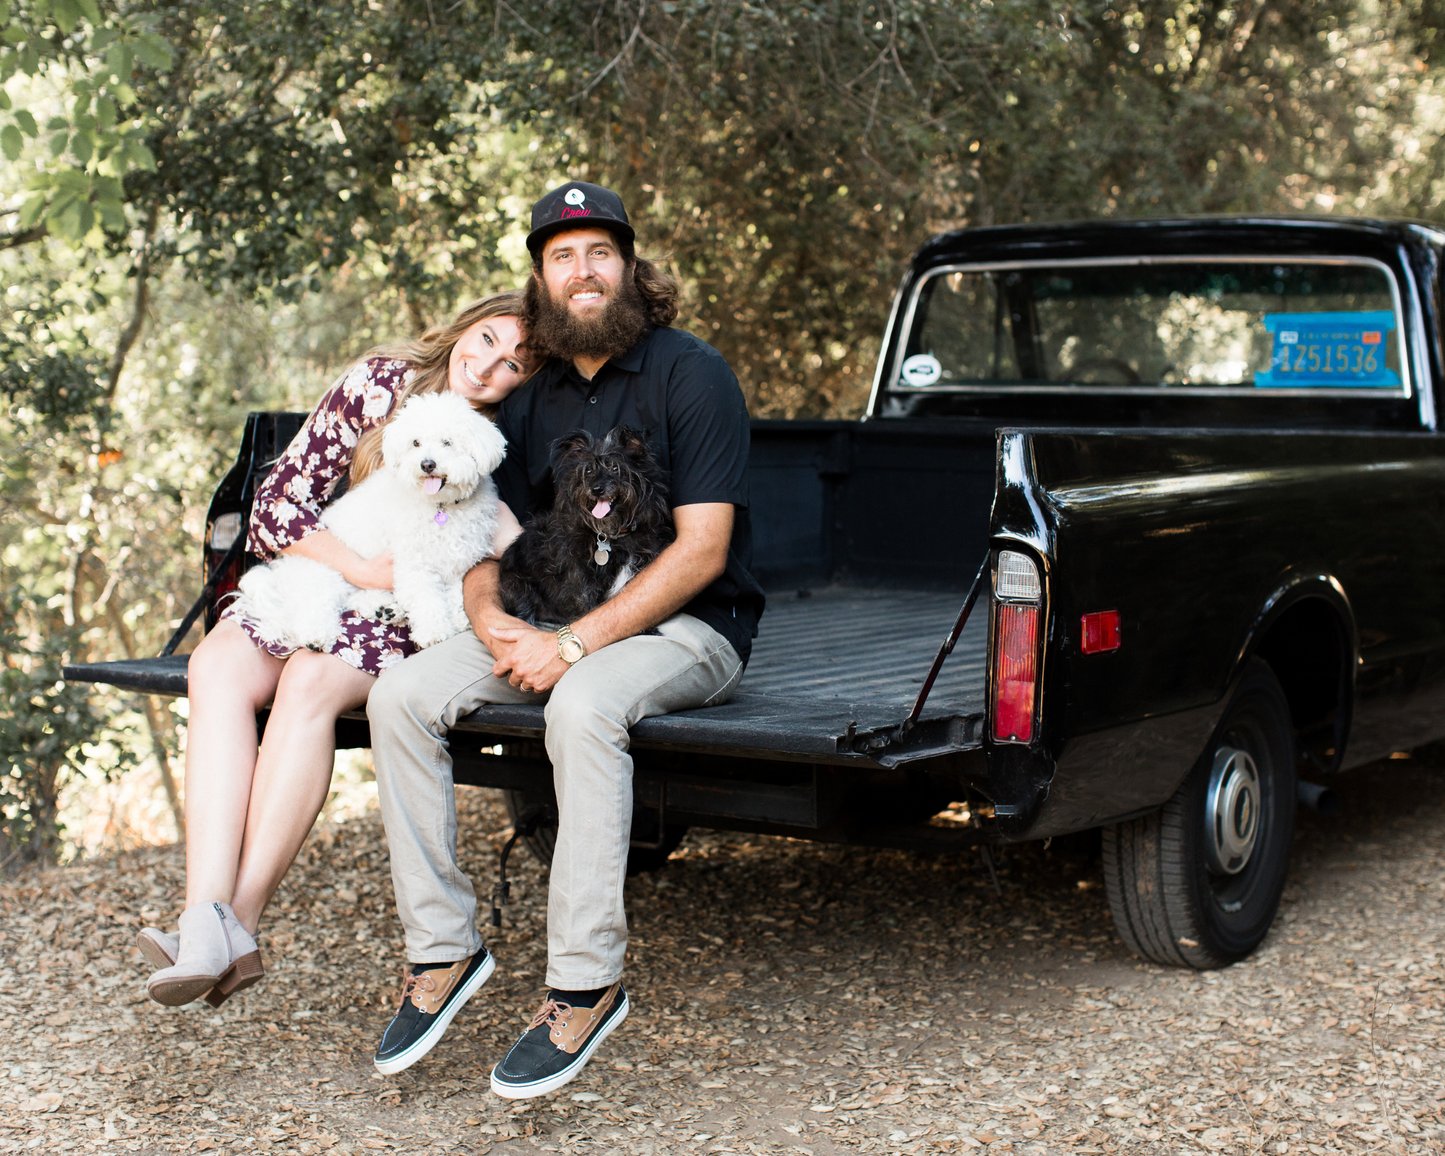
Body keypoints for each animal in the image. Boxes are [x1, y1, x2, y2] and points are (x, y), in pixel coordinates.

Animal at [229, 395, 508, 650]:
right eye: (416, 443)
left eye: (447, 442)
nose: (427, 464)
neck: (442, 506)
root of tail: (281, 574)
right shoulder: (415, 565)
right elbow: (427, 600)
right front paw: (434, 632)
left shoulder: (456, 563)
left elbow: (454, 596)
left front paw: (459, 620)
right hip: (323, 574)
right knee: (312, 609)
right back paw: (315, 636)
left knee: (352, 598)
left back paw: (385, 609)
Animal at [499, 427, 673, 627]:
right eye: (588, 470)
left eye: (615, 467)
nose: (596, 489)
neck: (612, 534)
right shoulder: (579, 579)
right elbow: (586, 607)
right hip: (517, 586)